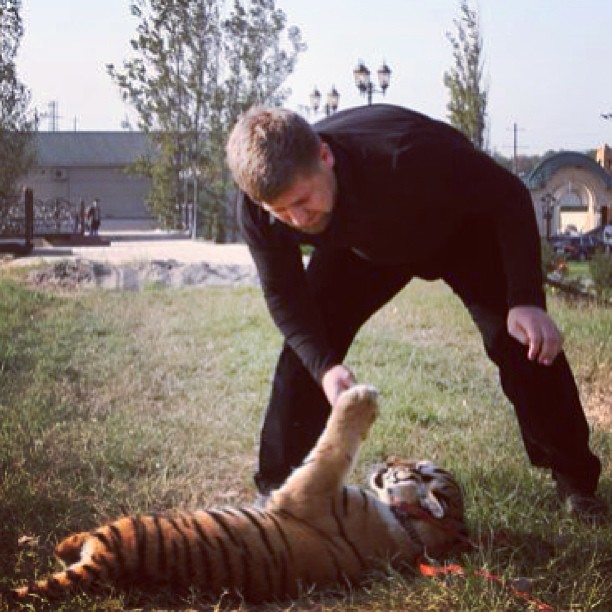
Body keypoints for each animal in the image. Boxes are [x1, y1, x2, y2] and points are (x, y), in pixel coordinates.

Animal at [11, 384, 466, 604]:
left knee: (73, 542)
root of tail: (107, 564)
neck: (411, 528)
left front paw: (360, 398)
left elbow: (334, 445)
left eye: (413, 469)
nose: (387, 461)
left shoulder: (309, 488)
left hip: (124, 525)